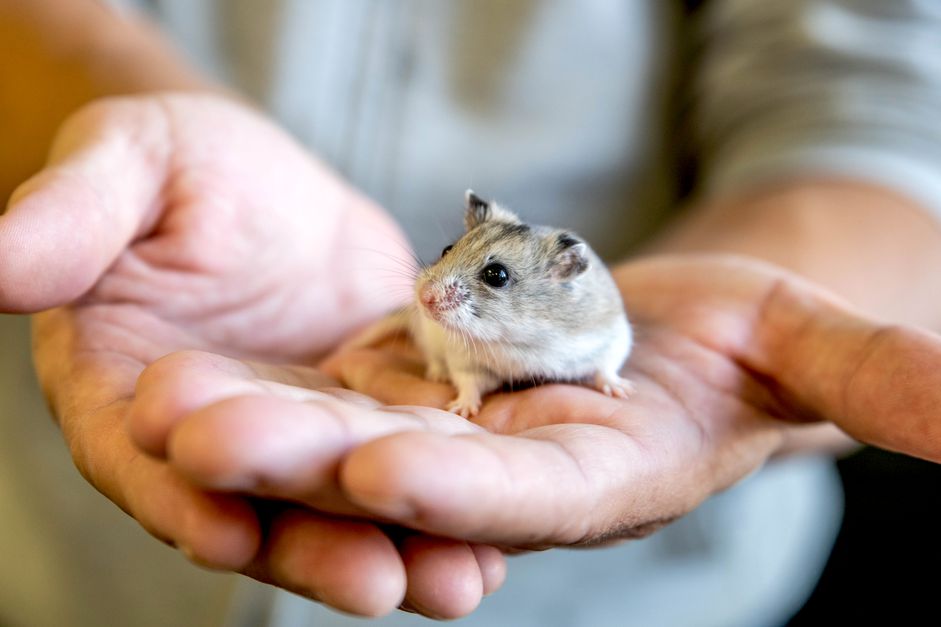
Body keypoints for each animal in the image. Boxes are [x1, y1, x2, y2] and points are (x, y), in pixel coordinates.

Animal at [408, 190, 636, 418]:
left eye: (496, 275)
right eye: (447, 250)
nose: (424, 297)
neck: (518, 337)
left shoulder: (611, 339)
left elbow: (606, 368)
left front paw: (622, 390)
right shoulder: (464, 359)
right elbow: (468, 383)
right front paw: (460, 409)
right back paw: (438, 375)